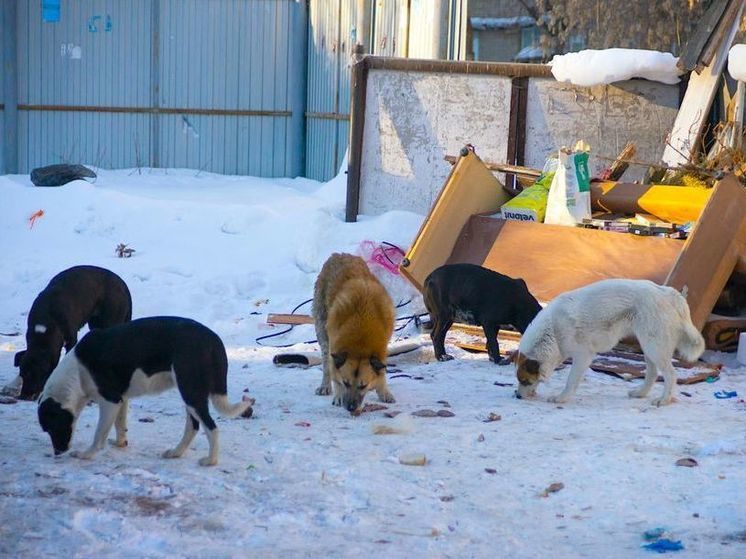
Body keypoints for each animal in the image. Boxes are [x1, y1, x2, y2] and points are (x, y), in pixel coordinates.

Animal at [12, 264, 132, 400]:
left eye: (35, 375)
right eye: (22, 374)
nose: (23, 396)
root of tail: (123, 284)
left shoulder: (71, 340)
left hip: (109, 321)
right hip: (96, 324)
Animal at [37, 320, 253, 468]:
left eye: (51, 427)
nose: (58, 452)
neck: (78, 372)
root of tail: (213, 340)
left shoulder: (110, 400)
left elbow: (99, 435)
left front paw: (86, 454)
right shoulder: (121, 399)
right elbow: (120, 424)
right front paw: (120, 443)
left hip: (191, 393)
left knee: (211, 428)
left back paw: (211, 461)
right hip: (190, 393)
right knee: (193, 427)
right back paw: (176, 452)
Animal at [312, 253, 396, 412]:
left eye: (363, 386)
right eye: (346, 383)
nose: (351, 407)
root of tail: (338, 255)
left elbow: (381, 372)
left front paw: (383, 391)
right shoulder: (334, 344)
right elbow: (334, 371)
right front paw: (338, 395)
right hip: (322, 327)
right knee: (326, 363)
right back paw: (325, 385)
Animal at [512, 280, 704, 406]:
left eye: (525, 381)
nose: (518, 397)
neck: (552, 330)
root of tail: (668, 293)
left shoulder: (583, 356)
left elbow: (571, 380)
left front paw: (561, 398)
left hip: (654, 346)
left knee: (670, 374)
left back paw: (664, 400)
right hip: (649, 346)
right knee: (652, 373)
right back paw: (640, 393)